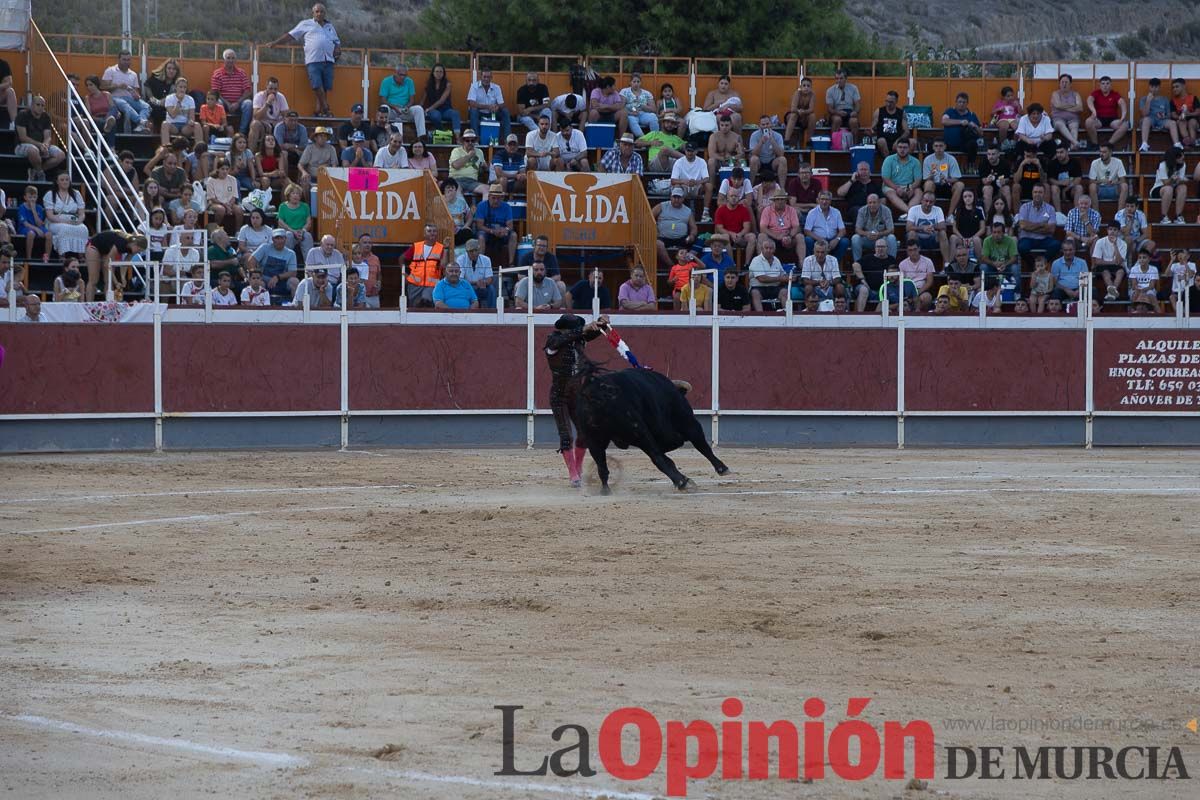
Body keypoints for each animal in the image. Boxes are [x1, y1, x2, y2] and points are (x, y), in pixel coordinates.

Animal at [573, 367, 724, 491]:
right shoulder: (687, 422)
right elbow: (702, 445)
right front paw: (721, 468)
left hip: (594, 439)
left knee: (602, 466)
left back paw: (605, 490)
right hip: (641, 430)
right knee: (658, 457)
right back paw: (682, 482)